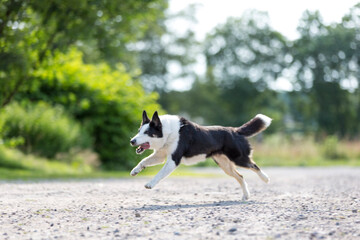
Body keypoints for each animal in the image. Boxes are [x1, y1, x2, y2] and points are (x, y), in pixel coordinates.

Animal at [131, 109, 272, 200]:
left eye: (147, 132)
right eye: (139, 131)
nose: (132, 141)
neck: (168, 132)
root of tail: (235, 130)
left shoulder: (173, 160)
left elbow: (159, 174)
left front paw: (150, 184)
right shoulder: (160, 156)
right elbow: (143, 161)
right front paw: (135, 170)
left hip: (239, 158)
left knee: (254, 166)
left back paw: (265, 179)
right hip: (225, 165)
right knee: (241, 176)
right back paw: (246, 195)